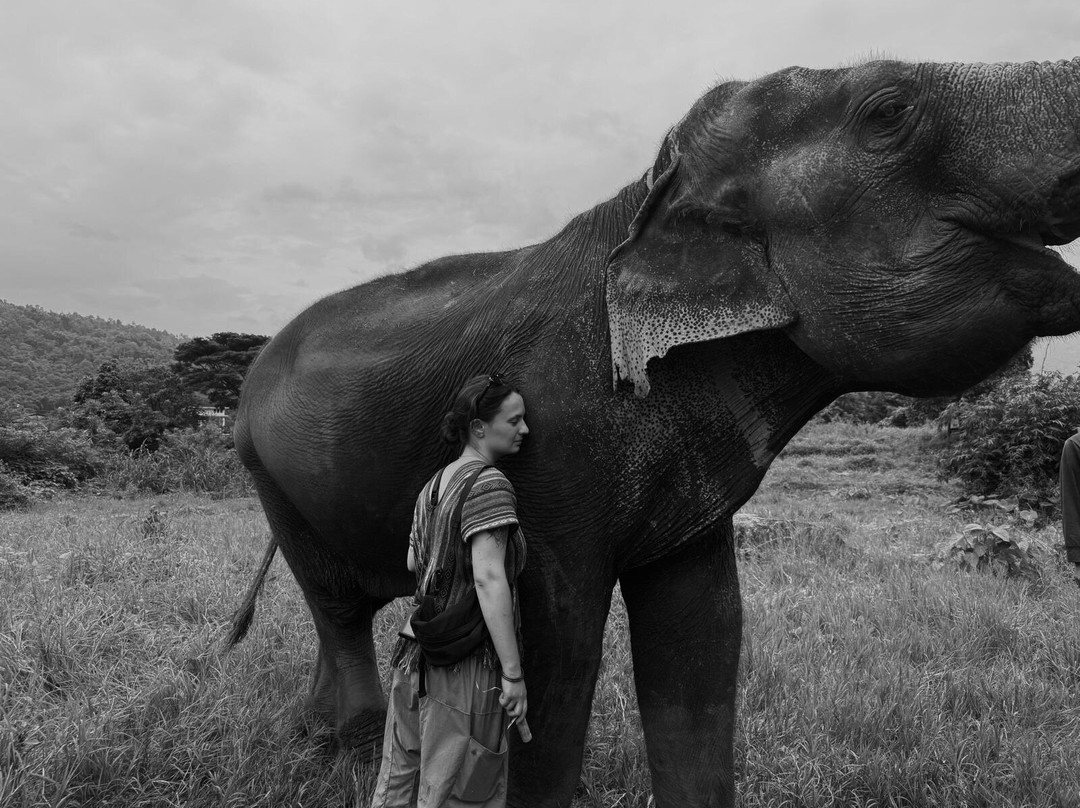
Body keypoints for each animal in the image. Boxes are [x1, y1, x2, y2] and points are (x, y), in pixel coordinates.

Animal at [230, 58, 1080, 807]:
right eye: (891, 110)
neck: (649, 189)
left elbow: (702, 631)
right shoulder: (552, 439)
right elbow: (556, 634)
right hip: (264, 468)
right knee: (337, 606)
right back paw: (342, 741)